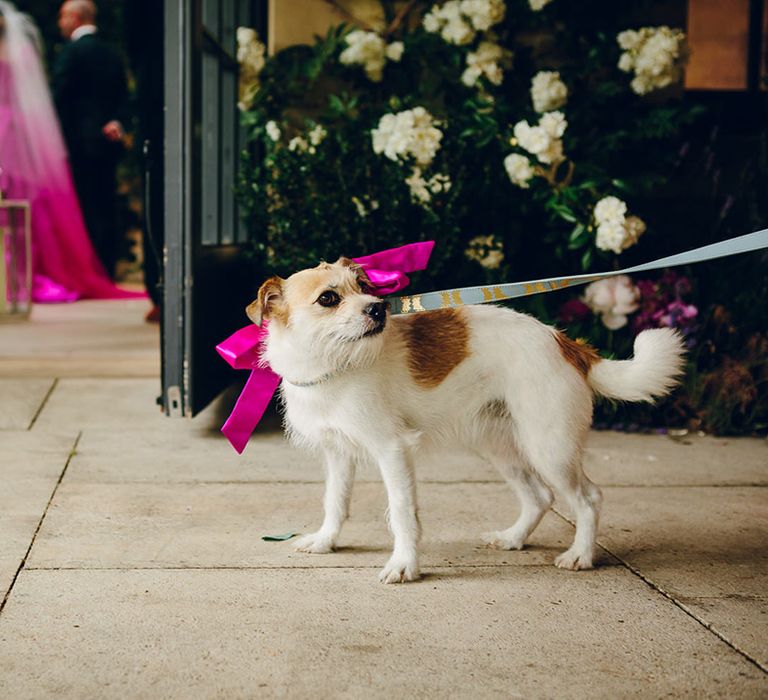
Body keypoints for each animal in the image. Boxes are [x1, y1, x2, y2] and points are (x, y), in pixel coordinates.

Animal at [248, 260, 684, 584]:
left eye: (365, 286)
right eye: (328, 298)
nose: (378, 308)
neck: (335, 366)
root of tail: (566, 344)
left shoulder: (393, 450)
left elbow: (402, 512)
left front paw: (405, 565)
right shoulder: (338, 453)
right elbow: (335, 502)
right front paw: (326, 541)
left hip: (550, 449)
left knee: (589, 498)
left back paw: (580, 555)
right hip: (501, 447)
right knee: (540, 497)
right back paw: (513, 539)